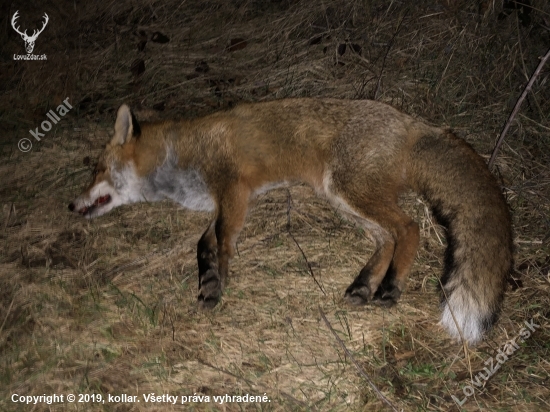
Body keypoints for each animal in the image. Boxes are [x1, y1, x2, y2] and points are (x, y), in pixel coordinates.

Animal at [70, 99, 516, 344]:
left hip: (348, 189)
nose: (72, 205)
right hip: (340, 197)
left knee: (408, 228)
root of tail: (413, 122)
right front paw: (208, 282)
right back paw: (363, 285)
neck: (179, 157)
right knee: (386, 238)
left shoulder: (233, 189)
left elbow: (222, 240)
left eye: (96, 170)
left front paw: (221, 281)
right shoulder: (225, 202)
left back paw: (389, 288)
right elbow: (204, 244)